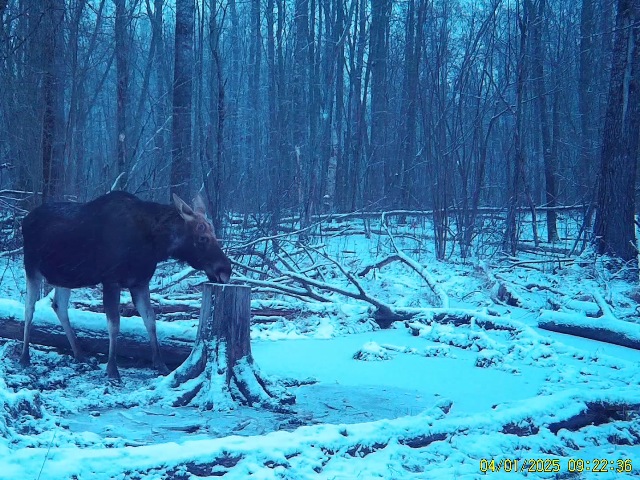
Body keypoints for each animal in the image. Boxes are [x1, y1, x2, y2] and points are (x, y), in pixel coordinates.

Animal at [20, 191, 232, 380]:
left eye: (214, 234)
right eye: (202, 238)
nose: (225, 270)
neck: (155, 245)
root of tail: (24, 220)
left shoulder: (140, 282)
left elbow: (150, 320)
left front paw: (160, 364)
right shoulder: (111, 281)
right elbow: (114, 324)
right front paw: (112, 369)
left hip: (64, 276)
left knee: (59, 306)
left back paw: (80, 354)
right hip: (31, 267)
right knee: (29, 308)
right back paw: (24, 356)